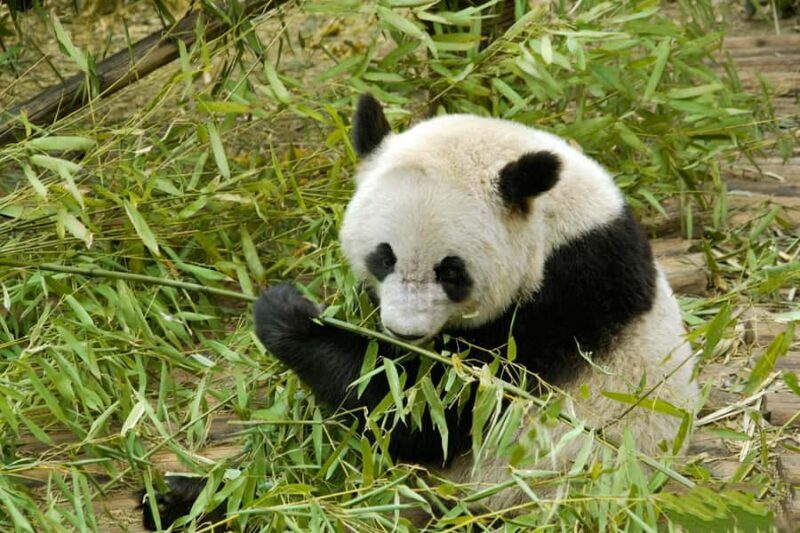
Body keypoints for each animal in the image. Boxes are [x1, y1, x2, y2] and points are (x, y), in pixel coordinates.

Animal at [140, 94, 699, 529]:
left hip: (503, 495)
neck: (557, 224)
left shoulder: (561, 305)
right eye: (383, 256)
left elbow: (431, 412)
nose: (403, 331)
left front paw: (290, 318)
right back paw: (179, 501)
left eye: (451, 271)